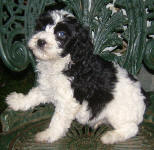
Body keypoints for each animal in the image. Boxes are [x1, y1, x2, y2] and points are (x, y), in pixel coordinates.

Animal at [6, 10, 147, 144]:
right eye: (43, 27)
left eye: (61, 34)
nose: (41, 41)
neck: (62, 61)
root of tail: (144, 100)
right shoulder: (48, 86)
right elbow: (34, 94)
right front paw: (18, 101)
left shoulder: (68, 100)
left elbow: (58, 120)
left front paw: (49, 134)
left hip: (117, 112)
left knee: (132, 128)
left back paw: (111, 136)